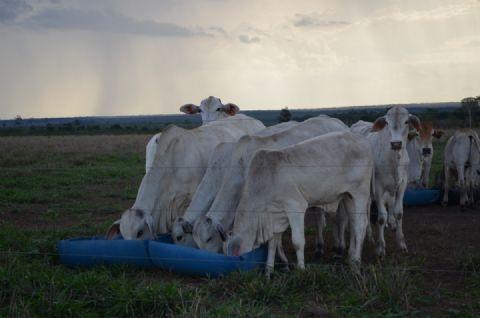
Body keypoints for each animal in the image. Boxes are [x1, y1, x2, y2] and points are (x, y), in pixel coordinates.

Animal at [226, 130, 376, 274]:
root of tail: (364, 141)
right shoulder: (275, 215)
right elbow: (272, 243)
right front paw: (268, 271)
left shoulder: (295, 206)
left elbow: (297, 242)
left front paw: (301, 269)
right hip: (348, 196)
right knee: (354, 223)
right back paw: (351, 257)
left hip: (360, 193)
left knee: (361, 225)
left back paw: (356, 263)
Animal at [348, 107, 420, 256]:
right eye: (387, 122)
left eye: (406, 121)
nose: (396, 143)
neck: (394, 159)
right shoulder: (378, 187)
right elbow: (381, 217)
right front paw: (381, 247)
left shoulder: (402, 185)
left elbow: (399, 213)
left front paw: (401, 244)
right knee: (367, 210)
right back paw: (369, 236)